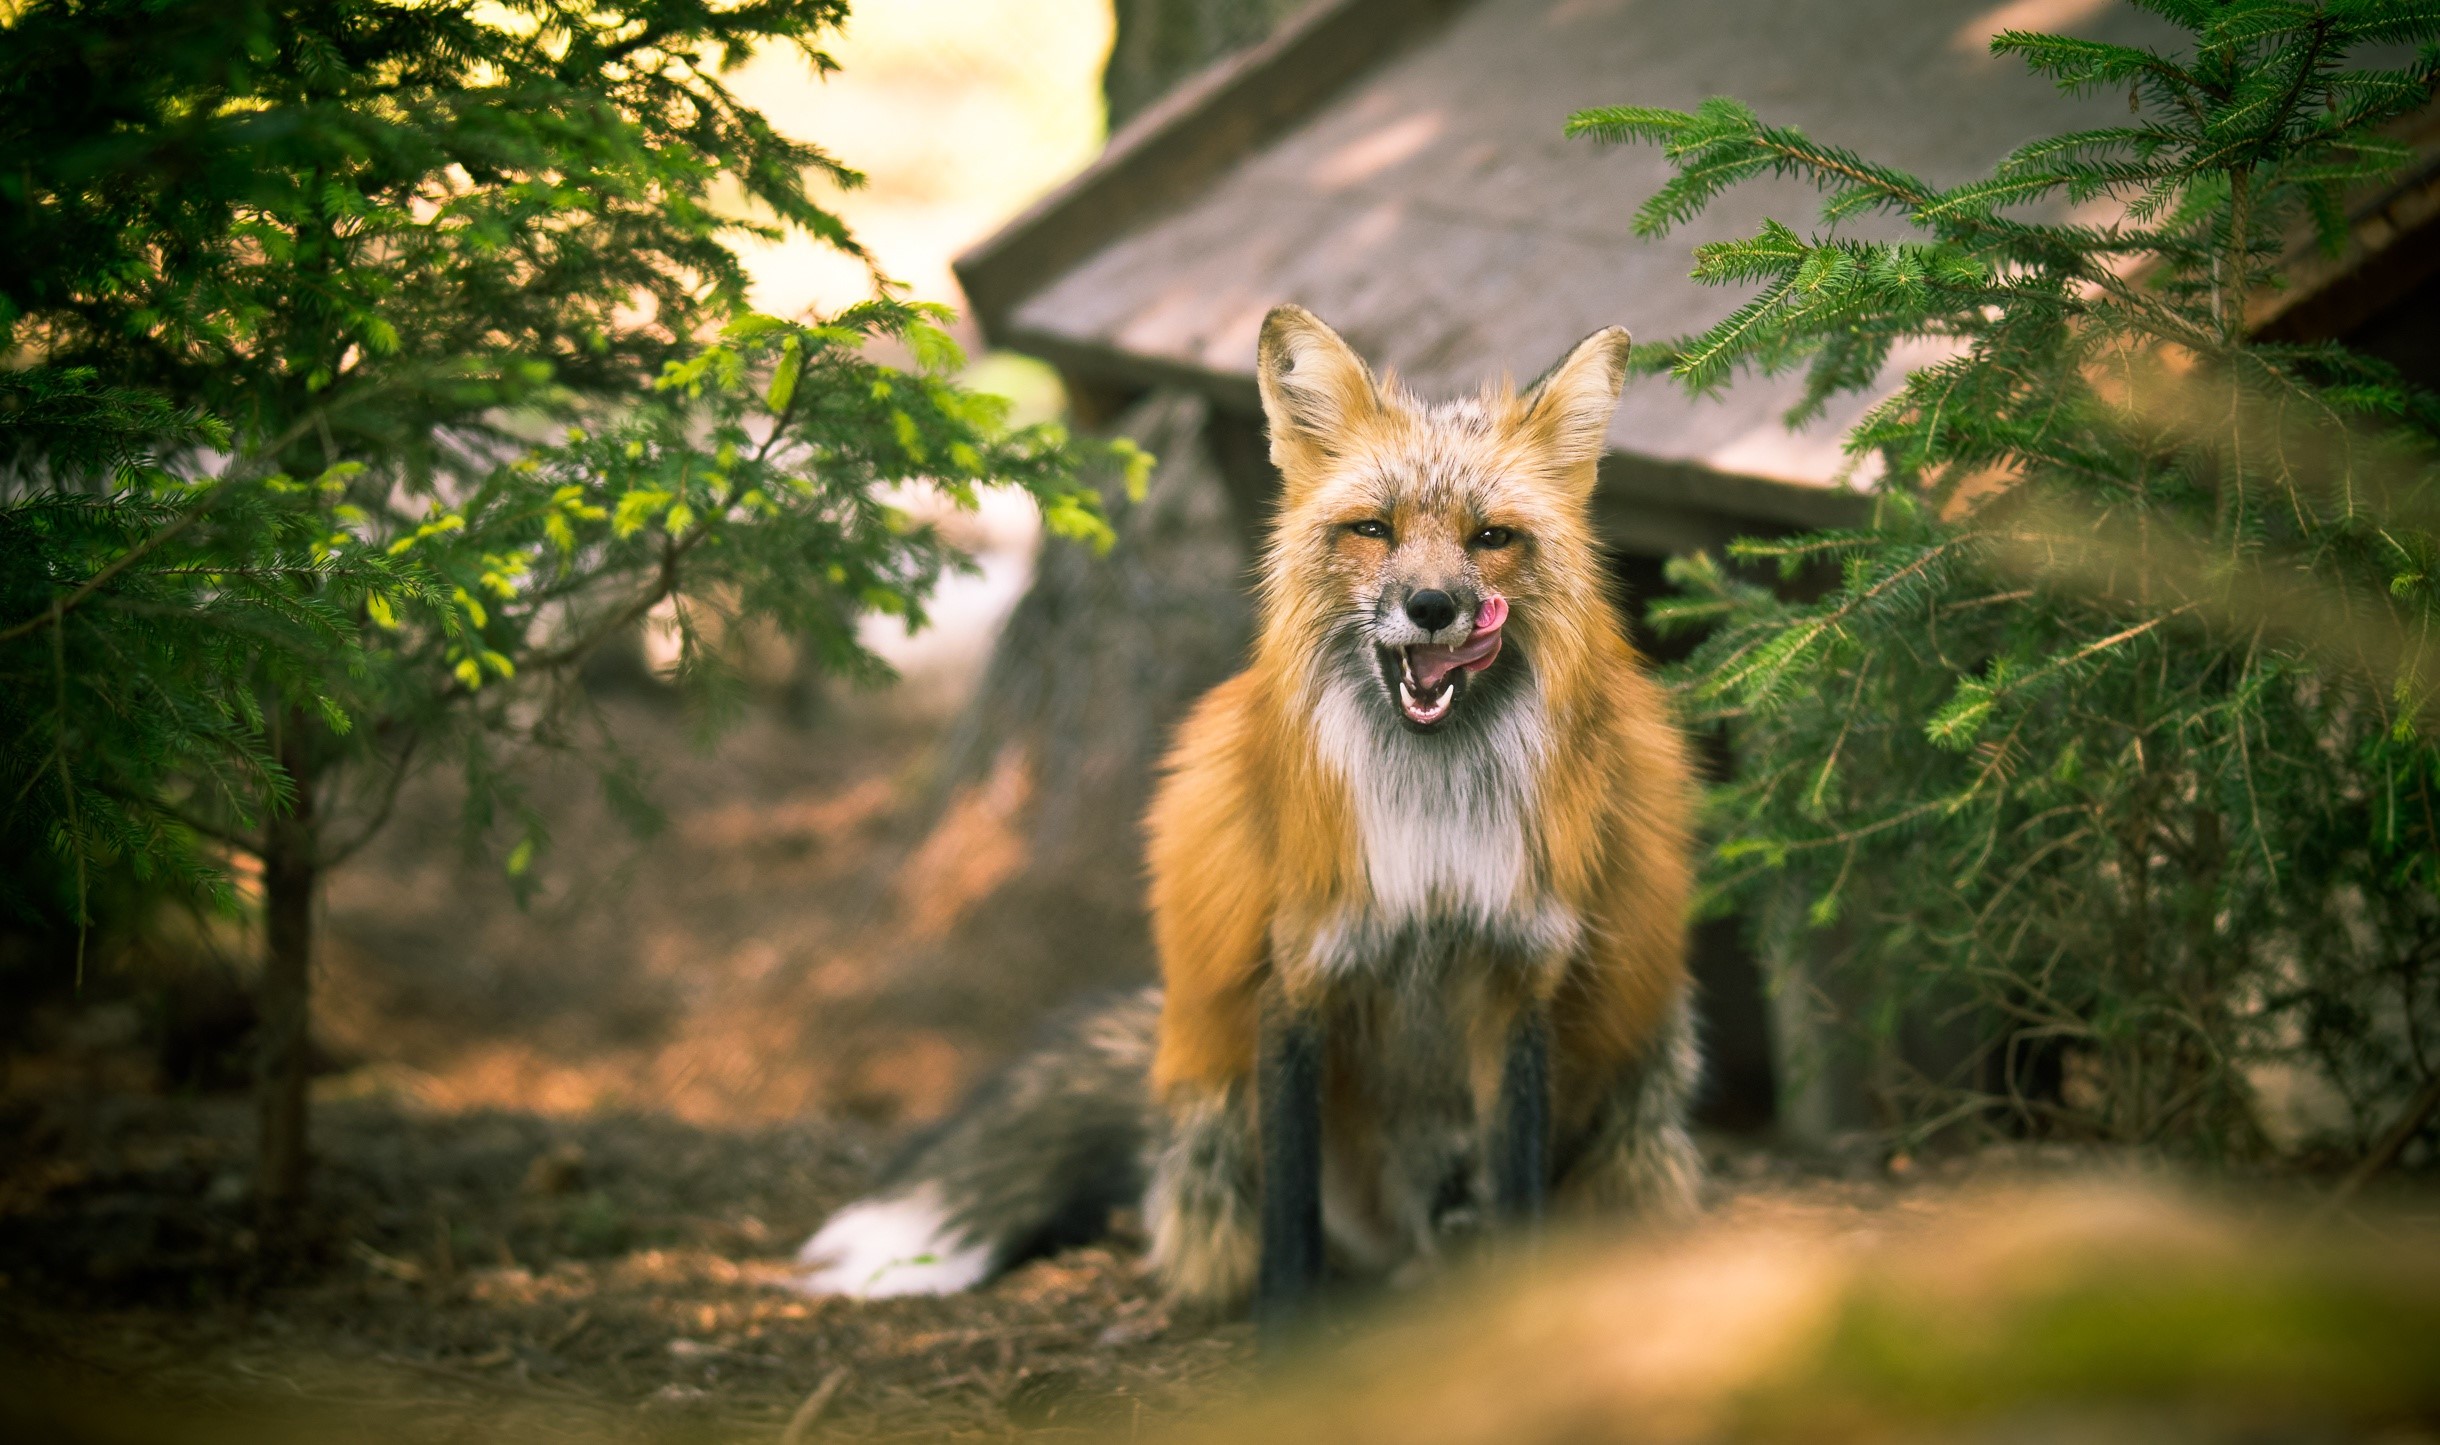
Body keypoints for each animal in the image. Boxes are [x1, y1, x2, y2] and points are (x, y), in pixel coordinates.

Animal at [791, 306, 1702, 1317]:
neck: (1431, 824)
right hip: (1218, 1109)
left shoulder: (1519, 978)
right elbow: (1289, 1225)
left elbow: (1522, 1202)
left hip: (1641, 1080)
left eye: (1492, 536)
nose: (1432, 605)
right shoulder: (1297, 971)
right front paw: (1285, 1340)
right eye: (1374, 529)